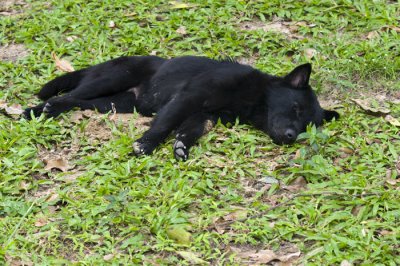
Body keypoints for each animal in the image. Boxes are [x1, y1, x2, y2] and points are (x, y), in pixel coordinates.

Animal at [24, 55, 338, 160]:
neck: (253, 95)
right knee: (66, 96)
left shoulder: (203, 115)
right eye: (295, 108)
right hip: (109, 80)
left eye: (308, 126)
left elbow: (186, 132)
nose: (291, 137)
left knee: (77, 102)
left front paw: (180, 148)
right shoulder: (188, 98)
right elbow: (164, 125)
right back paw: (36, 110)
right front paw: (145, 145)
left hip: (114, 103)